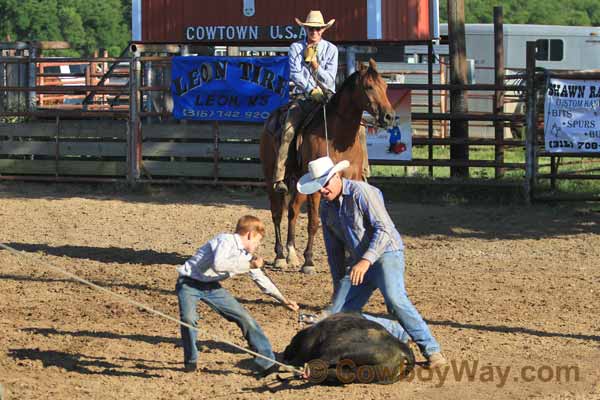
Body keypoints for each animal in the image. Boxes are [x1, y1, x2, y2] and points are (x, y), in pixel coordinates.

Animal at [258, 58, 394, 272]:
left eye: (386, 86)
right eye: (369, 86)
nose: (389, 116)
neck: (336, 136)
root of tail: (271, 119)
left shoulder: (349, 179)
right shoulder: (317, 186)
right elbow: (314, 222)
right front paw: (309, 261)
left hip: (299, 180)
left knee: (293, 211)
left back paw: (291, 254)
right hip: (270, 174)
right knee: (277, 213)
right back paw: (280, 256)